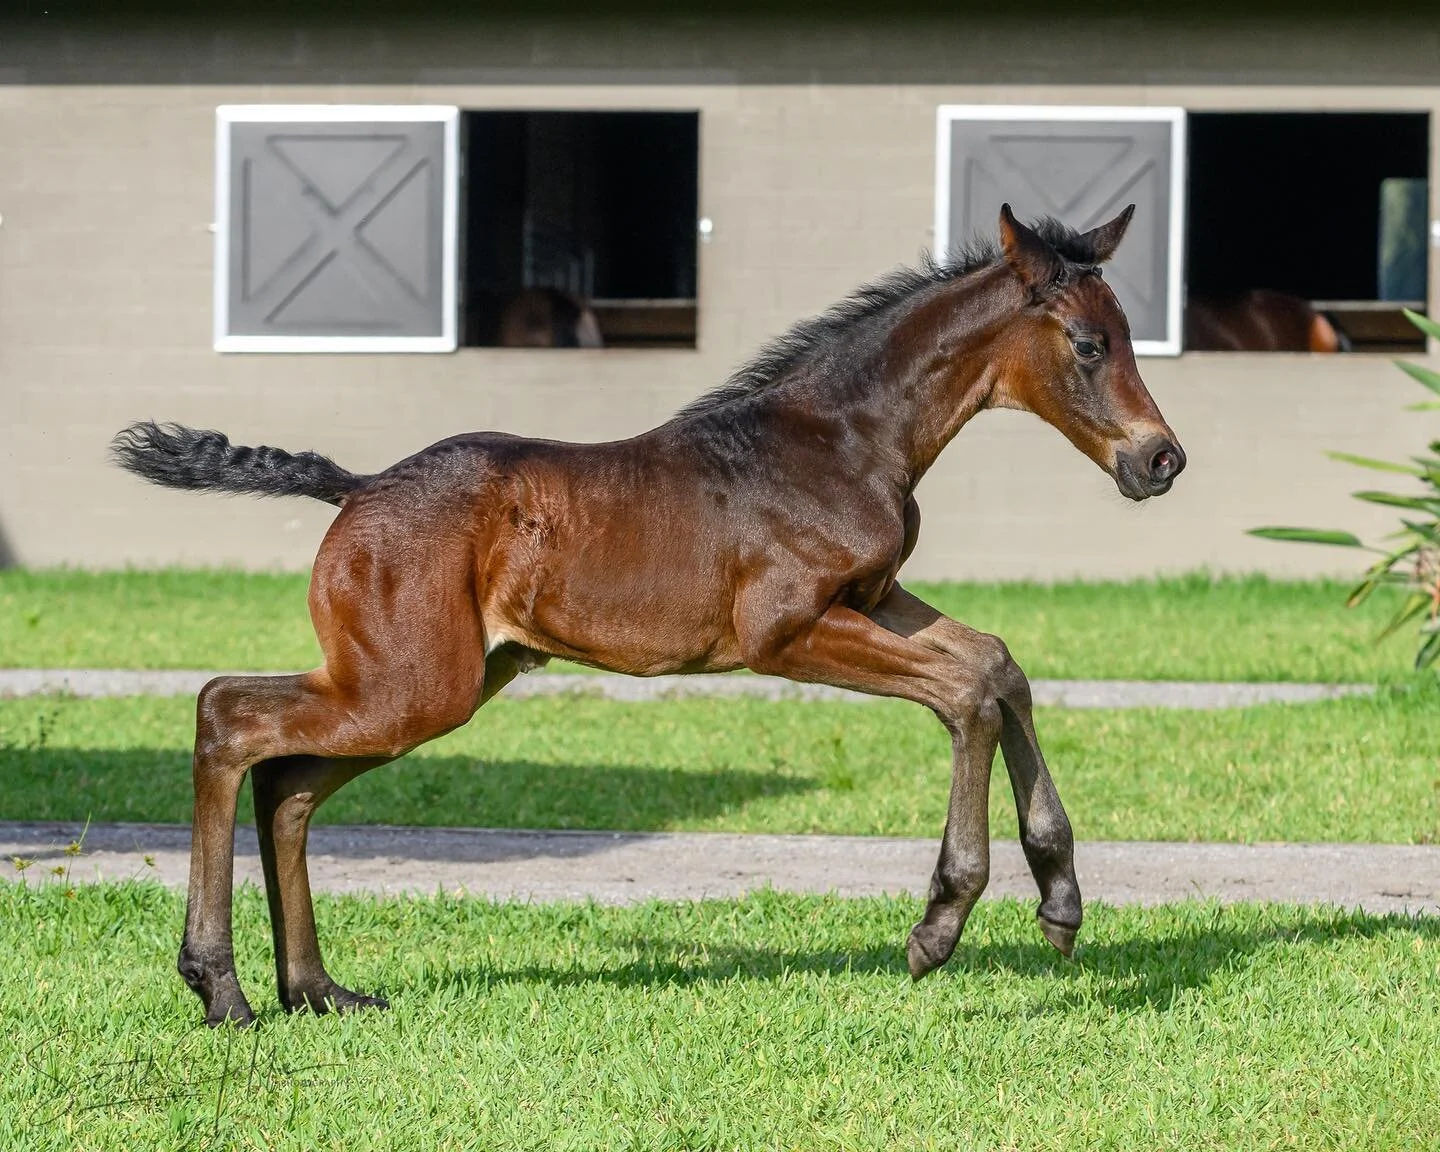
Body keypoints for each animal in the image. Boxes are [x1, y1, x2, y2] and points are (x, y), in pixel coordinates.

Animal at [112, 204, 1185, 1027]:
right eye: (1089, 344)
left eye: (1131, 336)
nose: (1161, 459)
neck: (841, 439)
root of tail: (357, 488)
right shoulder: (785, 633)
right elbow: (965, 692)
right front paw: (939, 924)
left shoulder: (873, 599)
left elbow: (997, 663)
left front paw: (1061, 898)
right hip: (407, 686)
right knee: (228, 715)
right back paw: (223, 991)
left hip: (424, 686)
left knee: (287, 781)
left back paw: (315, 990)